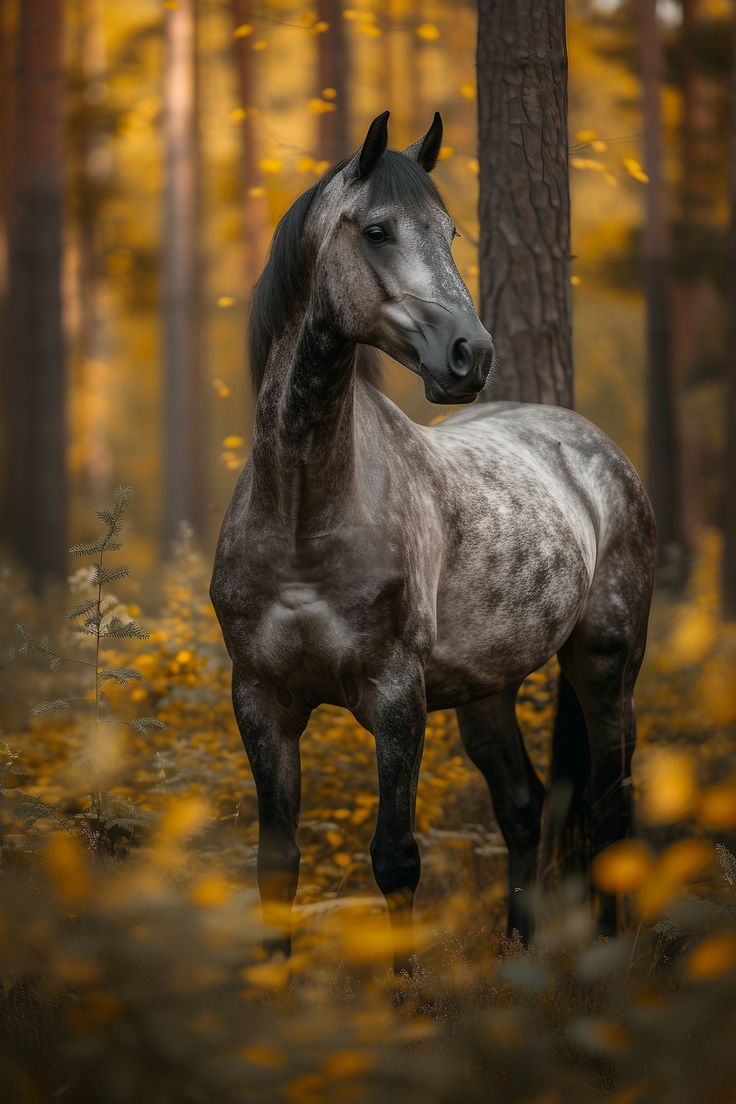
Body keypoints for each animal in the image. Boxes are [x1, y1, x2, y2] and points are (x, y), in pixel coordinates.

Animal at [211, 114, 657, 975]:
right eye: (377, 231)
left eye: (450, 232)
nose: (469, 355)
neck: (304, 515)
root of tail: (597, 450)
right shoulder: (261, 700)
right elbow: (276, 865)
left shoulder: (395, 698)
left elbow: (395, 859)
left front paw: (404, 992)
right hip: (487, 691)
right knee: (522, 808)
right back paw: (520, 954)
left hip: (605, 663)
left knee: (611, 809)